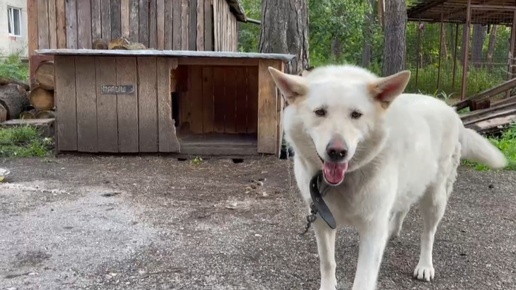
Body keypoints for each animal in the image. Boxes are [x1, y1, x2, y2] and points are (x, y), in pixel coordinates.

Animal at [268, 64, 506, 290]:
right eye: (320, 112)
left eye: (356, 114)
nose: (337, 151)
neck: (346, 181)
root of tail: (452, 111)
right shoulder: (321, 223)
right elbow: (327, 264)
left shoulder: (372, 230)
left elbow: (363, 281)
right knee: (403, 207)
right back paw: (393, 231)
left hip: (435, 199)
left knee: (428, 234)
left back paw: (425, 266)